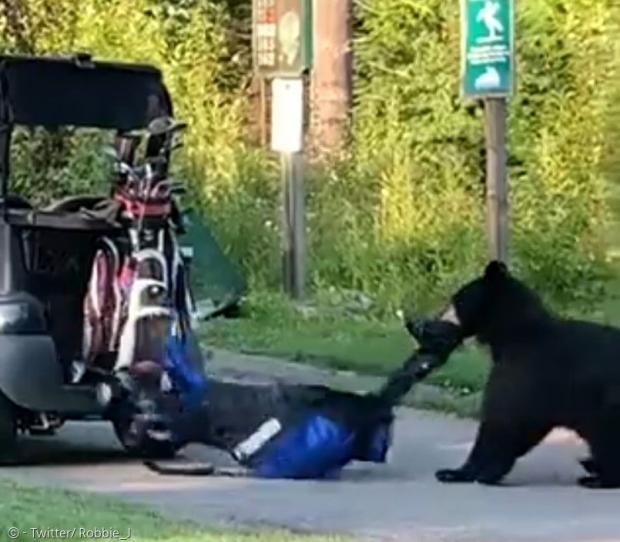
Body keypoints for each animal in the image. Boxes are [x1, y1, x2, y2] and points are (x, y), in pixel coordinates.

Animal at [434, 262, 620, 490]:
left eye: (455, 299)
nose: (436, 317)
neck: (512, 334)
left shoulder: (526, 371)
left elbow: (503, 420)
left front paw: (462, 472)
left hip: (609, 406)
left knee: (607, 439)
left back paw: (598, 477)